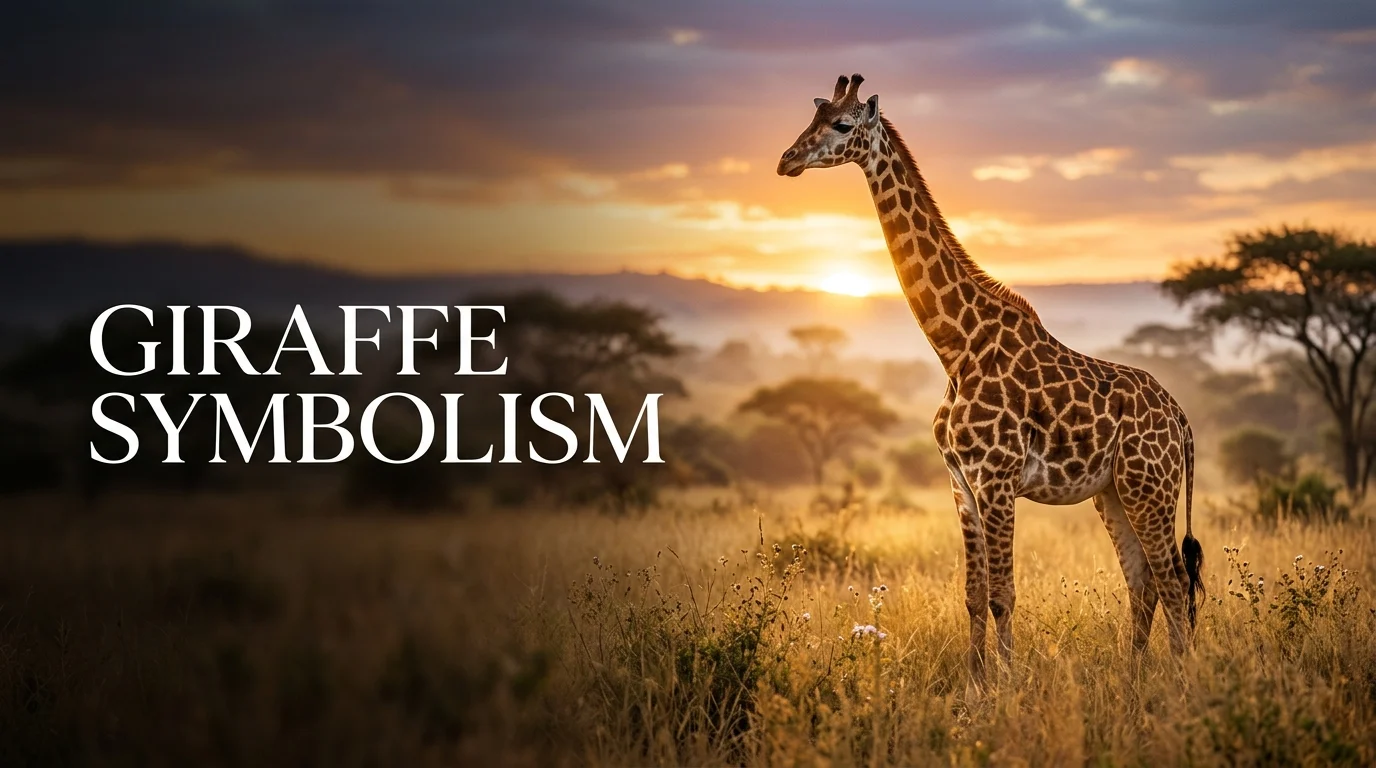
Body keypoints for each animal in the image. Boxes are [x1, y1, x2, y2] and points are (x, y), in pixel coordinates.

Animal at [777, 74, 1204, 681]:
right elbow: (974, 596)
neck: (954, 348)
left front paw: (1008, 683)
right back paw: (1135, 676)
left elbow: (1003, 595)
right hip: (1114, 492)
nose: (786, 160)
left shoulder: (997, 479)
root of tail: (1182, 420)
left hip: (1151, 486)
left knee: (1173, 580)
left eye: (841, 124)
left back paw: (1179, 678)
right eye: (810, 119)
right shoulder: (960, 481)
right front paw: (977, 682)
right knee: (1143, 582)